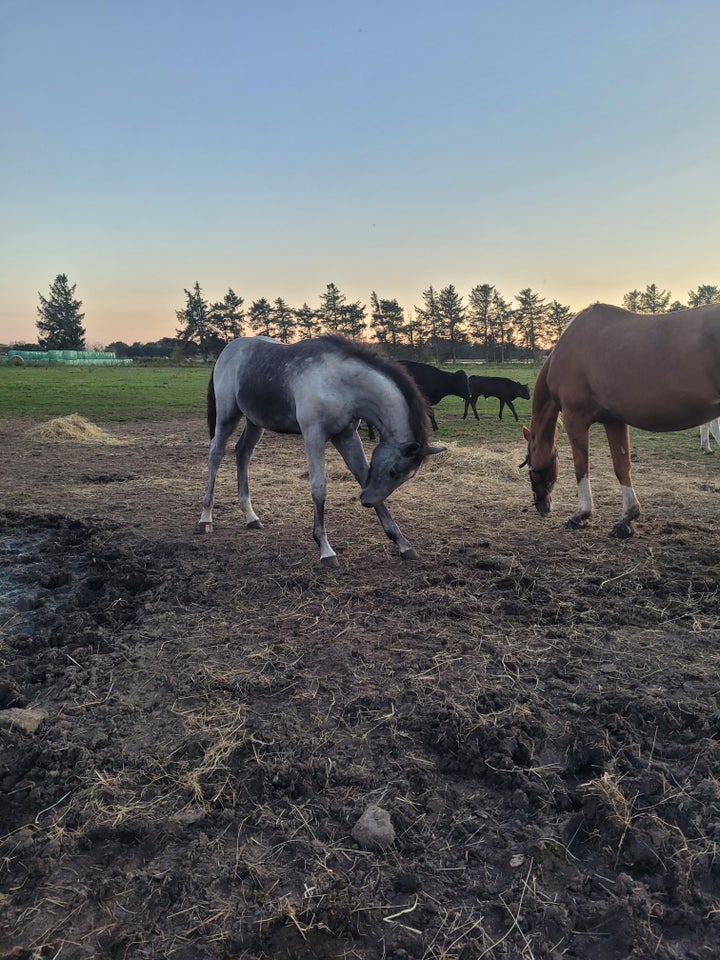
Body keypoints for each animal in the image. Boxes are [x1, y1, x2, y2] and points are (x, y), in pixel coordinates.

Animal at [520, 302, 720, 536]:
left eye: (529, 464)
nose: (542, 505)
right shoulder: (613, 421)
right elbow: (622, 466)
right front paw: (627, 517)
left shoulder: (574, 419)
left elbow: (581, 466)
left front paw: (581, 513)